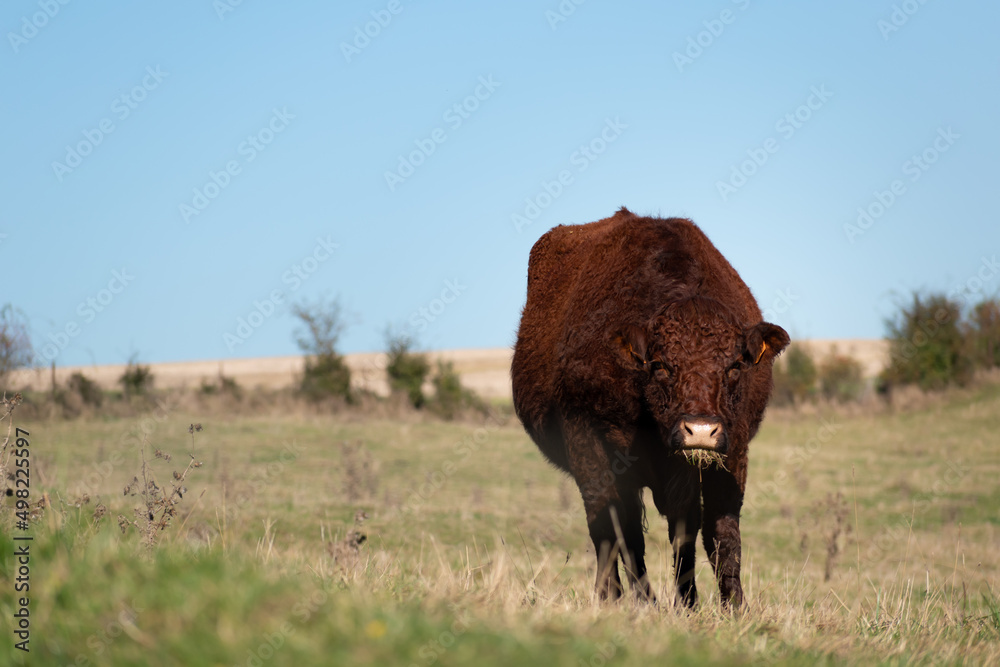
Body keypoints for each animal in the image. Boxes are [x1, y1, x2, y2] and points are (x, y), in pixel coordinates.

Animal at [516, 210, 788, 612]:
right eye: (660, 365)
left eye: (734, 366)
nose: (700, 429)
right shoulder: (590, 446)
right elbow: (610, 528)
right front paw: (616, 600)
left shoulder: (730, 453)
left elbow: (713, 530)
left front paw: (723, 606)